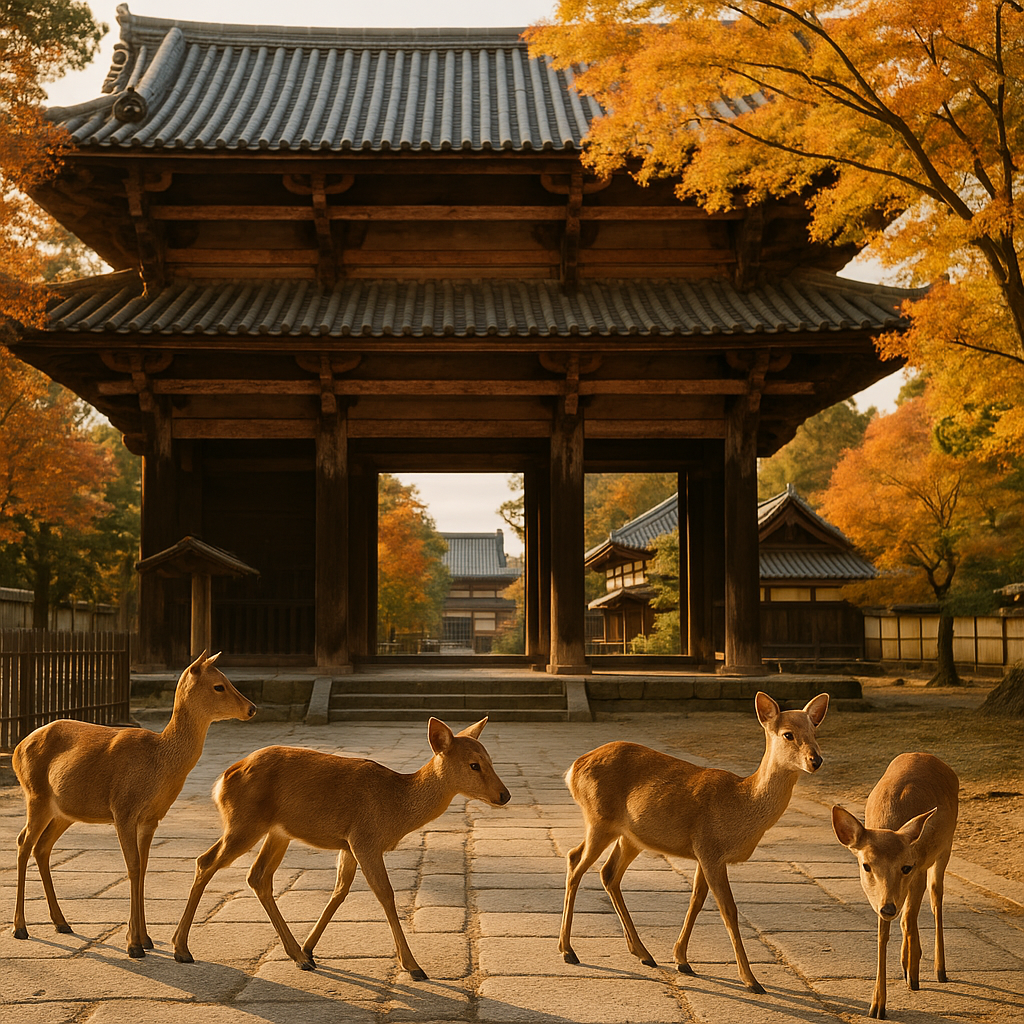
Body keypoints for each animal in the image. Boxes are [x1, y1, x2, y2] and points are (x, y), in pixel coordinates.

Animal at [12, 650, 256, 957]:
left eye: (227, 679)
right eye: (219, 685)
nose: (252, 709)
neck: (159, 761)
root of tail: (17, 749)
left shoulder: (151, 818)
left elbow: (144, 867)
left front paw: (145, 939)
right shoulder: (123, 808)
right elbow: (133, 867)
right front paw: (134, 945)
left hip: (64, 811)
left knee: (42, 847)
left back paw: (62, 923)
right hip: (36, 795)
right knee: (23, 842)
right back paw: (20, 928)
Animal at [171, 715, 510, 978]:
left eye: (492, 760)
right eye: (474, 765)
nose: (505, 795)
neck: (396, 808)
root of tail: (221, 781)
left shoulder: (348, 845)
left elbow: (340, 891)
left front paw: (310, 948)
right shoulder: (366, 839)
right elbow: (385, 894)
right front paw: (414, 967)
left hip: (277, 832)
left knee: (257, 875)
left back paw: (297, 955)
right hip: (245, 824)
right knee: (206, 861)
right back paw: (181, 948)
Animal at [559, 690, 829, 993]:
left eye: (815, 730)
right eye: (787, 734)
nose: (816, 760)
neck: (741, 803)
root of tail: (573, 769)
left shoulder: (704, 853)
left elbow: (696, 900)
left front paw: (682, 960)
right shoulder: (711, 849)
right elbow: (729, 910)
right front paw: (751, 980)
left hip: (630, 836)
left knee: (606, 872)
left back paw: (643, 953)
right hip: (599, 819)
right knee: (576, 862)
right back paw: (568, 951)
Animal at [831, 752, 959, 1020]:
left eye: (906, 866)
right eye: (866, 865)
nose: (888, 908)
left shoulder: (919, 868)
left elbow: (909, 917)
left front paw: (914, 974)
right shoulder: (879, 897)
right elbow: (884, 933)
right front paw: (877, 1005)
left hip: (946, 846)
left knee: (935, 899)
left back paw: (938, 970)